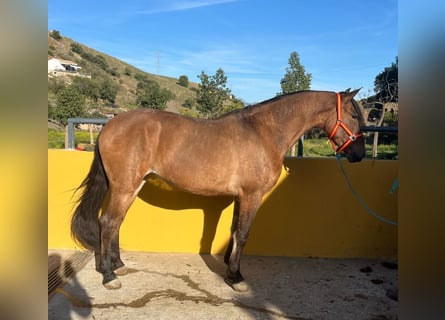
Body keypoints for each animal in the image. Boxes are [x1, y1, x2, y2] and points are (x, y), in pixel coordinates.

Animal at [70, 89, 364, 292]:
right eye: (353, 115)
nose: (358, 154)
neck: (264, 132)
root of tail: (110, 125)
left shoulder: (241, 196)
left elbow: (234, 231)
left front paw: (229, 268)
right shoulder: (251, 195)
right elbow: (243, 234)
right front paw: (236, 277)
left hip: (128, 187)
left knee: (115, 223)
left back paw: (117, 265)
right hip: (125, 187)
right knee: (108, 222)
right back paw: (109, 276)